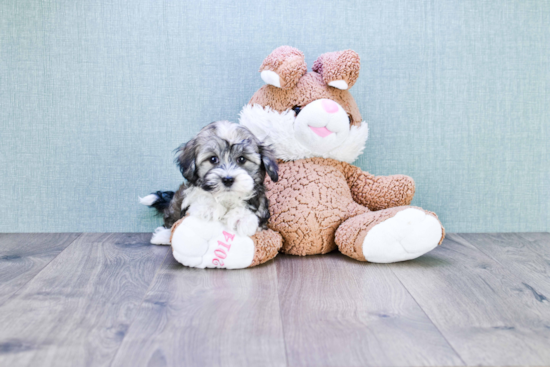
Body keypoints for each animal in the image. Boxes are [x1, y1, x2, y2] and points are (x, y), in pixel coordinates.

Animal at [140, 122, 278, 246]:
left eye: (242, 159)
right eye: (213, 159)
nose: (228, 179)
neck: (226, 198)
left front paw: (241, 218)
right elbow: (202, 197)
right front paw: (210, 207)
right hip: (176, 202)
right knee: (172, 220)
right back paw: (162, 236)